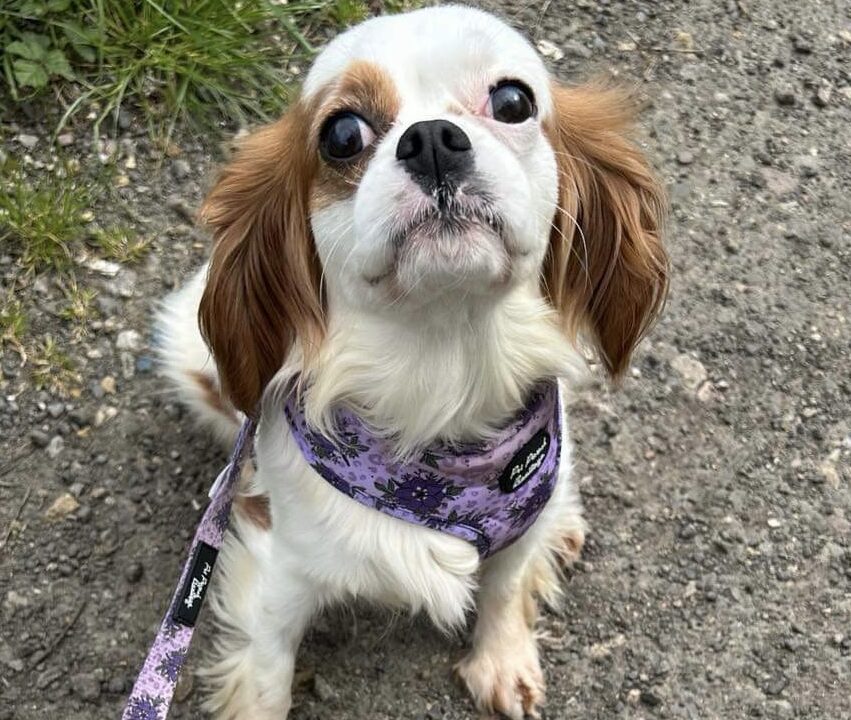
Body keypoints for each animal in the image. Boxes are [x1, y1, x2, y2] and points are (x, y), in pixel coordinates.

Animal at [158, 7, 664, 720]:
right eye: (342, 134)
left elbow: (506, 583)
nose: (430, 140)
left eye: (513, 101)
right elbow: (266, 675)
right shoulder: (276, 569)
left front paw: (502, 658)